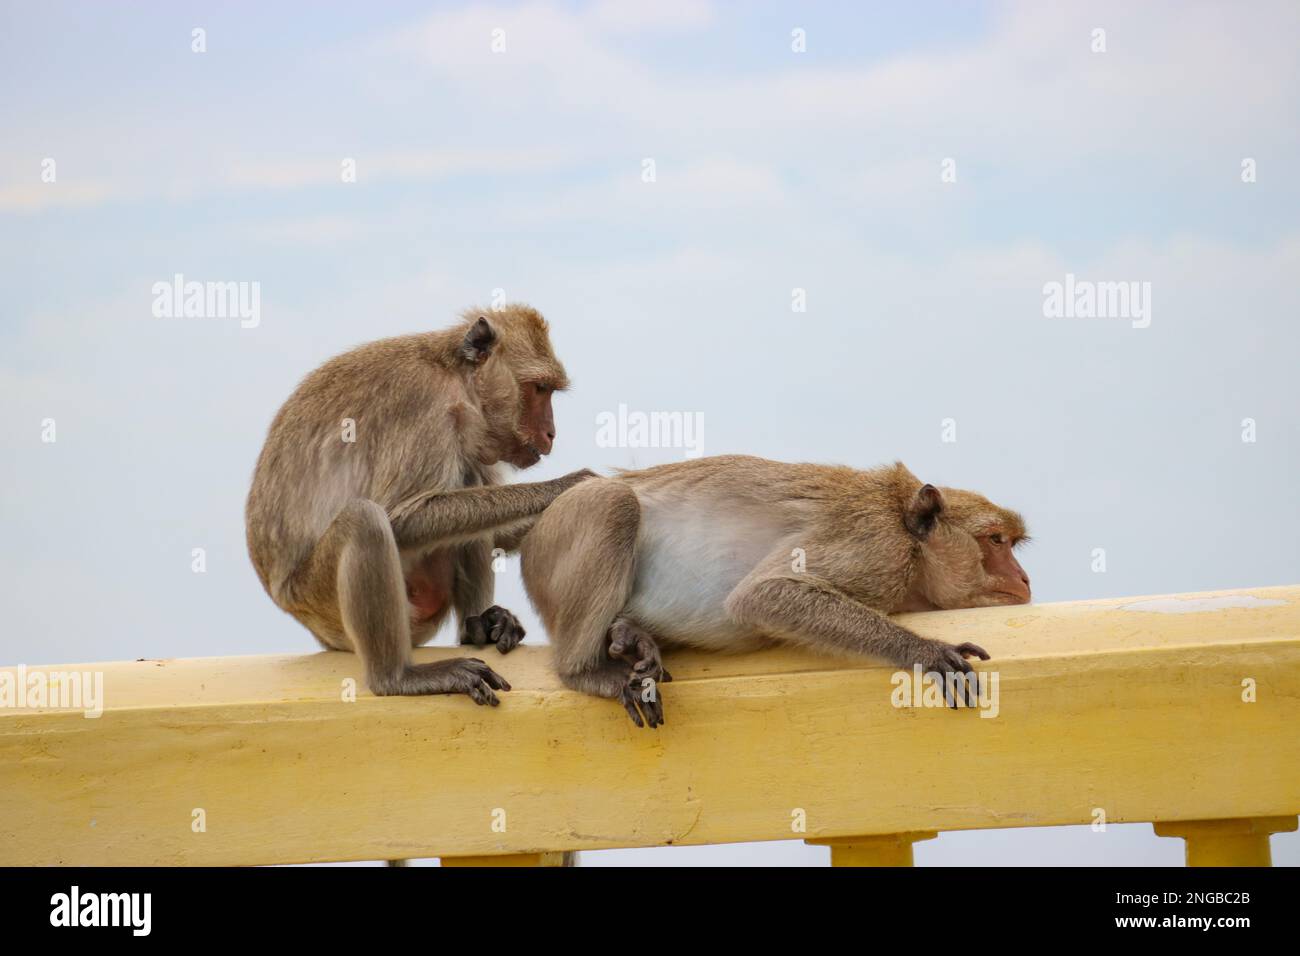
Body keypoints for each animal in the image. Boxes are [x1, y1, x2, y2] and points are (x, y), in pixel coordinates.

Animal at [244, 304, 595, 702]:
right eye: (539, 389)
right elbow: (401, 519)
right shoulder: (425, 407)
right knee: (365, 521)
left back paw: (479, 627)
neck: (456, 377)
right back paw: (397, 678)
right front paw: (570, 484)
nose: (551, 433)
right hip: (321, 604)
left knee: (469, 480)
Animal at [514, 455, 1024, 723]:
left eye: (1012, 544)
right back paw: (583, 671)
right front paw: (925, 650)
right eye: (996, 541)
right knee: (614, 502)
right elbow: (761, 593)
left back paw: (629, 635)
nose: (1023, 578)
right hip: (558, 537)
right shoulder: (879, 549)